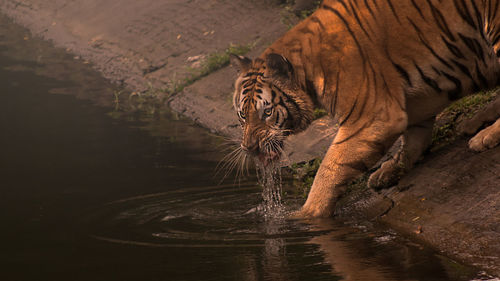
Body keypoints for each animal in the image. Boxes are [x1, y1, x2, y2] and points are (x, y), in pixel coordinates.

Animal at [232, 0, 500, 217]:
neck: (307, 70)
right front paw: (389, 171)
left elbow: (329, 168)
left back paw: (485, 135)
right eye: (243, 115)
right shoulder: (420, 97)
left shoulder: (372, 117)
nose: (250, 148)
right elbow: (414, 138)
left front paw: (306, 215)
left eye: (267, 113)